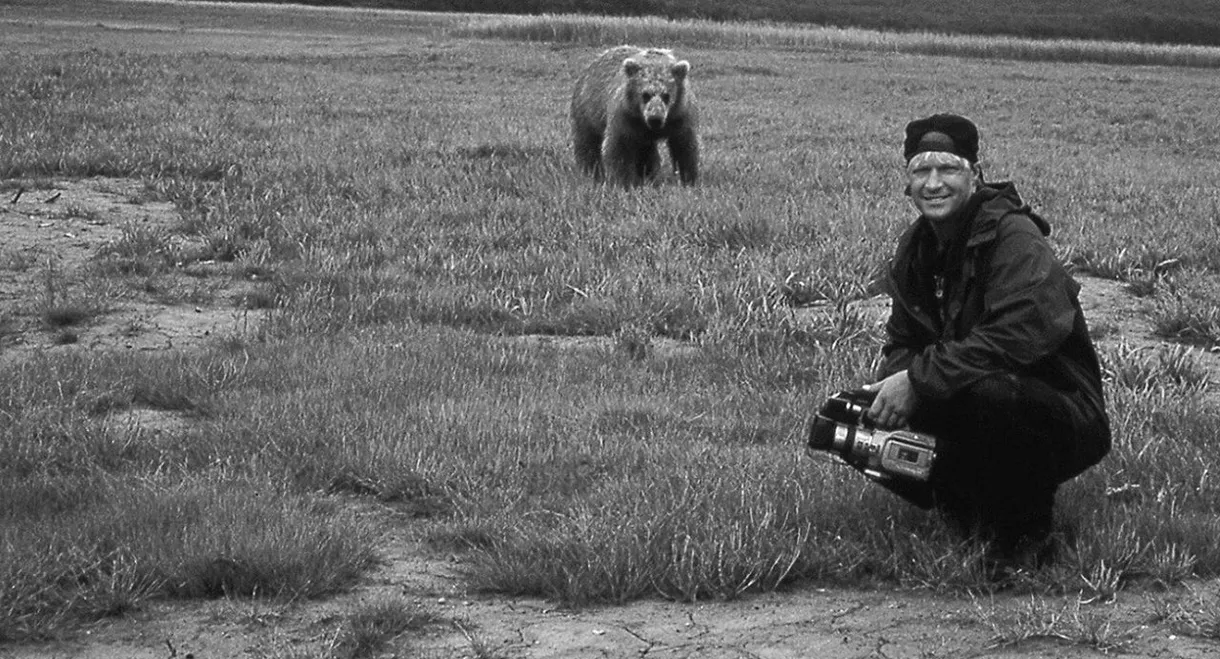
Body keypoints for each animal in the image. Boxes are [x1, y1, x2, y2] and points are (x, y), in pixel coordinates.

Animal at [569, 45, 700, 187]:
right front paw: (624, 182)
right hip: (587, 112)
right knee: (587, 143)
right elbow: (619, 148)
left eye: (666, 95)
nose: (655, 118)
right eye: (645, 95)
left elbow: (684, 146)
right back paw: (591, 172)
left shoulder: (680, 116)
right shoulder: (625, 117)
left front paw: (688, 179)